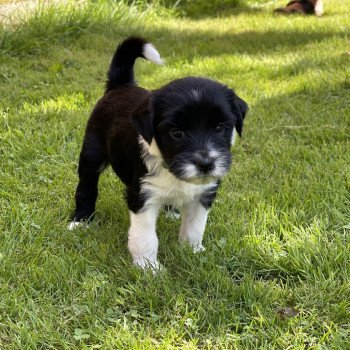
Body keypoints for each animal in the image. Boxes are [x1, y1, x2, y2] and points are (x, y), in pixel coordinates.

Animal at [68, 37, 247, 270]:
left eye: (219, 128)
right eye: (176, 133)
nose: (206, 164)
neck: (170, 167)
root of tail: (121, 86)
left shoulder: (203, 194)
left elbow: (194, 227)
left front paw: (192, 251)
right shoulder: (143, 195)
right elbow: (145, 236)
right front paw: (148, 267)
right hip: (91, 154)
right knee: (86, 188)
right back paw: (80, 221)